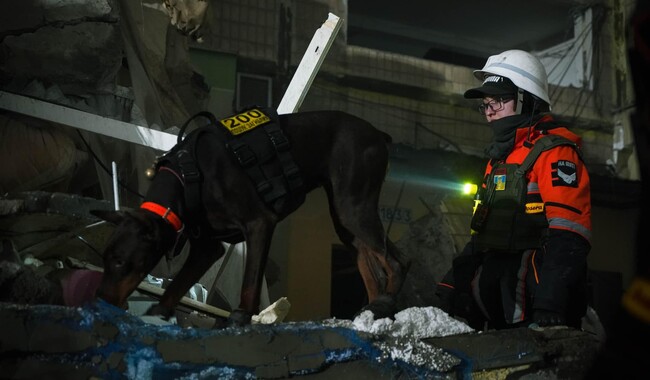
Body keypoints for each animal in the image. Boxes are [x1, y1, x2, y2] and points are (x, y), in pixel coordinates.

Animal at [92, 110, 404, 326]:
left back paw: (387, 301)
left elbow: (250, 281)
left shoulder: (259, 224)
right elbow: (178, 283)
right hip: (345, 219)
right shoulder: (206, 247)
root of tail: (378, 134)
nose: (101, 302)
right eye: (104, 259)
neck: (186, 176)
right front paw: (160, 310)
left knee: (396, 260)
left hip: (353, 208)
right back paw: (371, 312)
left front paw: (241, 315)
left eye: (119, 261)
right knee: (370, 265)